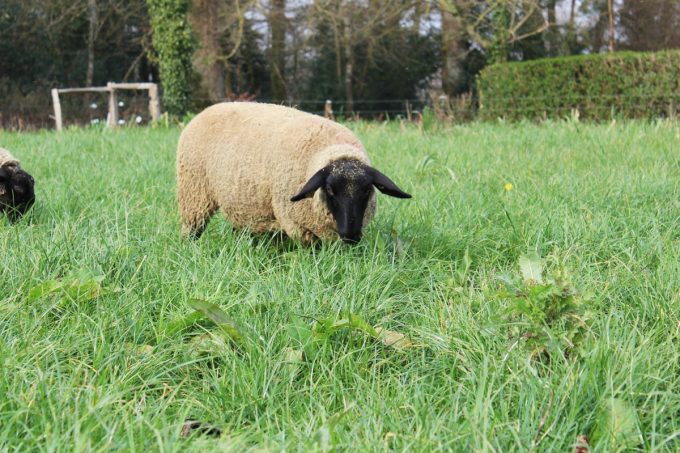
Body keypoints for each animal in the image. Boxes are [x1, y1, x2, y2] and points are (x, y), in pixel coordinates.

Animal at [176, 102, 411, 244]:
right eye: (329, 190)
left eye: (367, 191)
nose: (350, 235)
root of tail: (207, 109)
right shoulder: (297, 225)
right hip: (194, 194)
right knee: (192, 227)